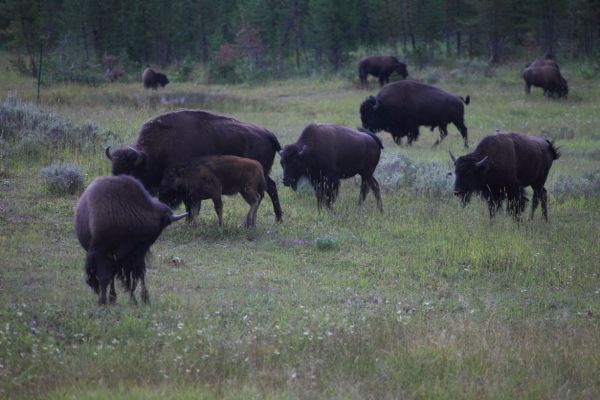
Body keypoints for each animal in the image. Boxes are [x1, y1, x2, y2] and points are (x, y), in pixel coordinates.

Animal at [75, 176, 188, 306]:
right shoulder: (103, 253)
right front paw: (103, 301)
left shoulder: (132, 255)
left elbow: (135, 276)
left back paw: (116, 298)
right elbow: (106, 277)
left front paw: (140, 299)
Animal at [105, 109, 284, 222]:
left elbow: (189, 204)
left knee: (268, 190)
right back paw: (276, 218)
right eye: (114, 172)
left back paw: (275, 219)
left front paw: (188, 221)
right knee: (270, 188)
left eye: (131, 173)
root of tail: (267, 133)